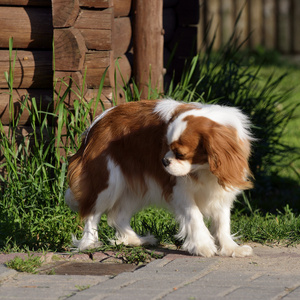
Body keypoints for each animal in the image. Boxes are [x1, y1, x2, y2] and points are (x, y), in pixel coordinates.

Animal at [65, 99, 253, 258]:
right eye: (166, 146)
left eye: (180, 154)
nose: (164, 161)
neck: (205, 168)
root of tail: (95, 125)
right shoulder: (180, 190)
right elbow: (195, 216)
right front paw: (203, 245)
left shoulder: (221, 190)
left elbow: (222, 222)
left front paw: (230, 248)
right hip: (108, 183)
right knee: (92, 214)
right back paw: (89, 244)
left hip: (135, 187)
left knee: (118, 216)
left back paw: (135, 240)